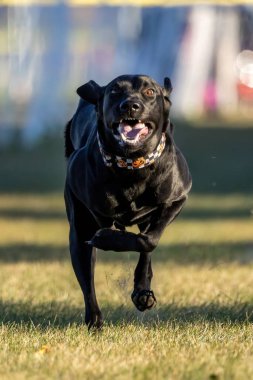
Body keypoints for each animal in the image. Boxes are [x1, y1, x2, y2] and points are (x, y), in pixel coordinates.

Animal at [64, 75, 192, 330]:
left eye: (150, 92)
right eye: (114, 91)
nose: (130, 106)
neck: (132, 165)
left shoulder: (178, 196)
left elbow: (149, 241)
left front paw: (108, 239)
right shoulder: (81, 222)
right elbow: (87, 277)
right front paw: (94, 321)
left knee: (145, 244)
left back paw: (142, 292)